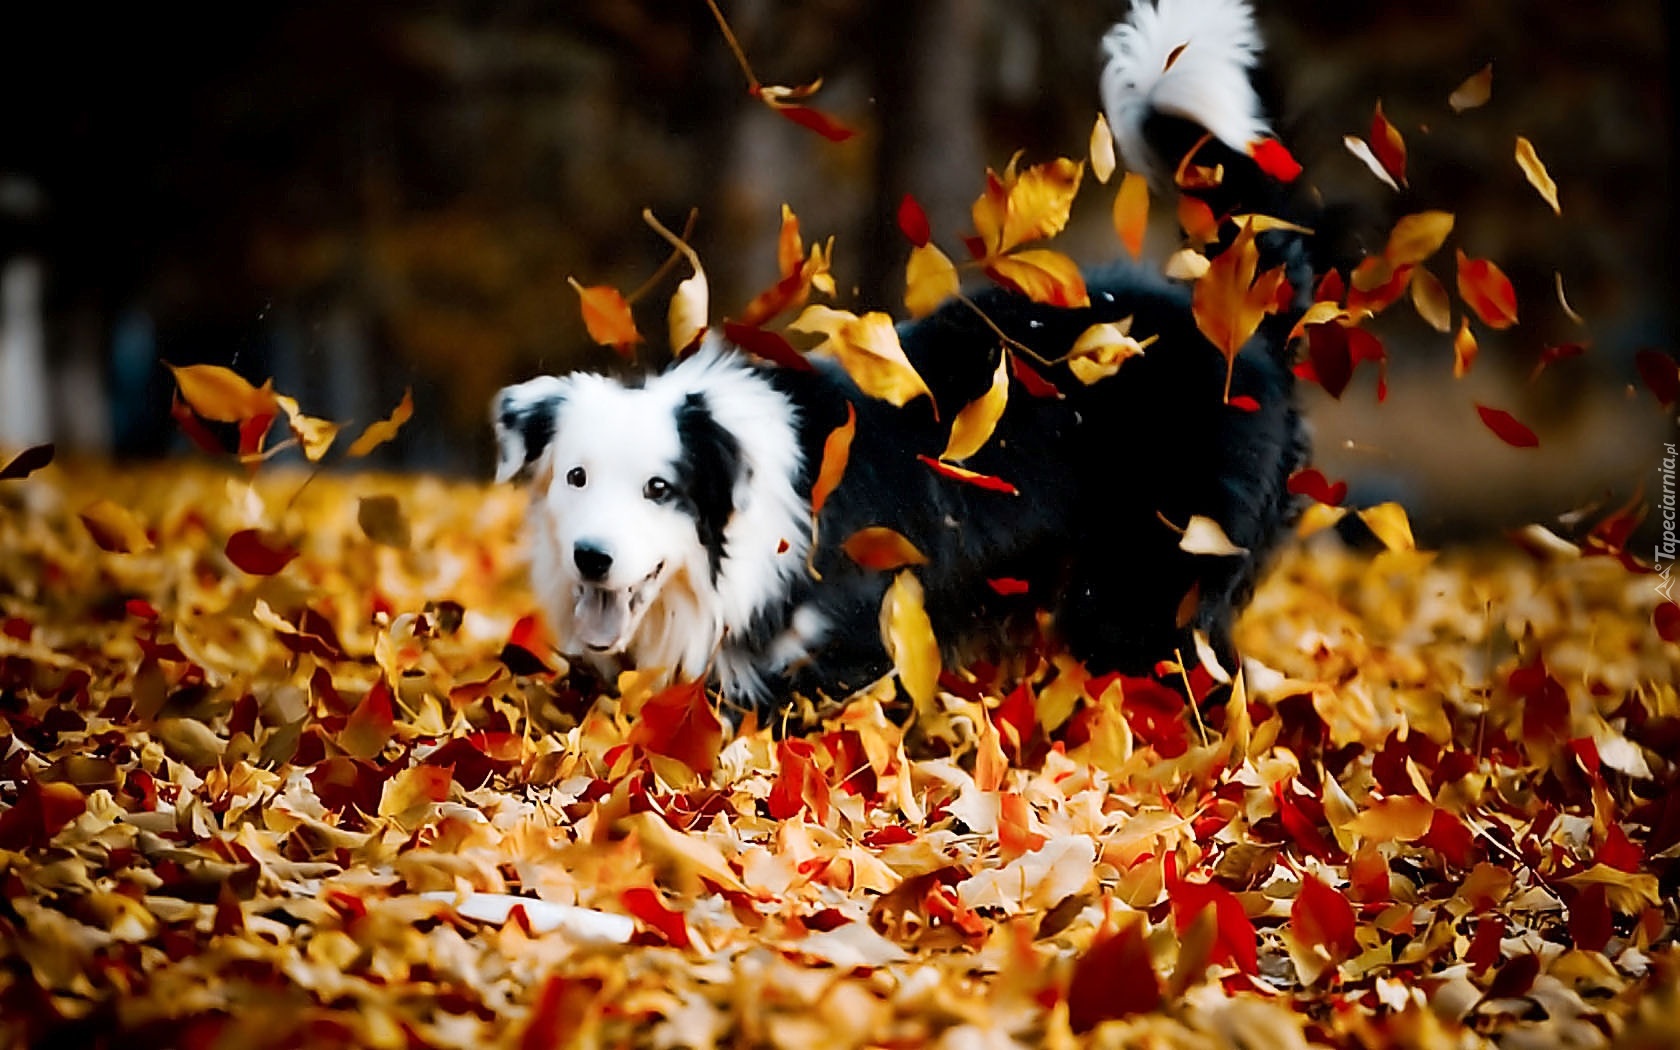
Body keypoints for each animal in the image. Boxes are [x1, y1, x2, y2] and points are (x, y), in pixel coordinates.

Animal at [493, 0, 1310, 712]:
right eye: (575, 477)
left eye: (660, 488)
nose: (591, 557)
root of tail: (1236, 320)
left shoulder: (851, 639)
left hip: (1154, 576)